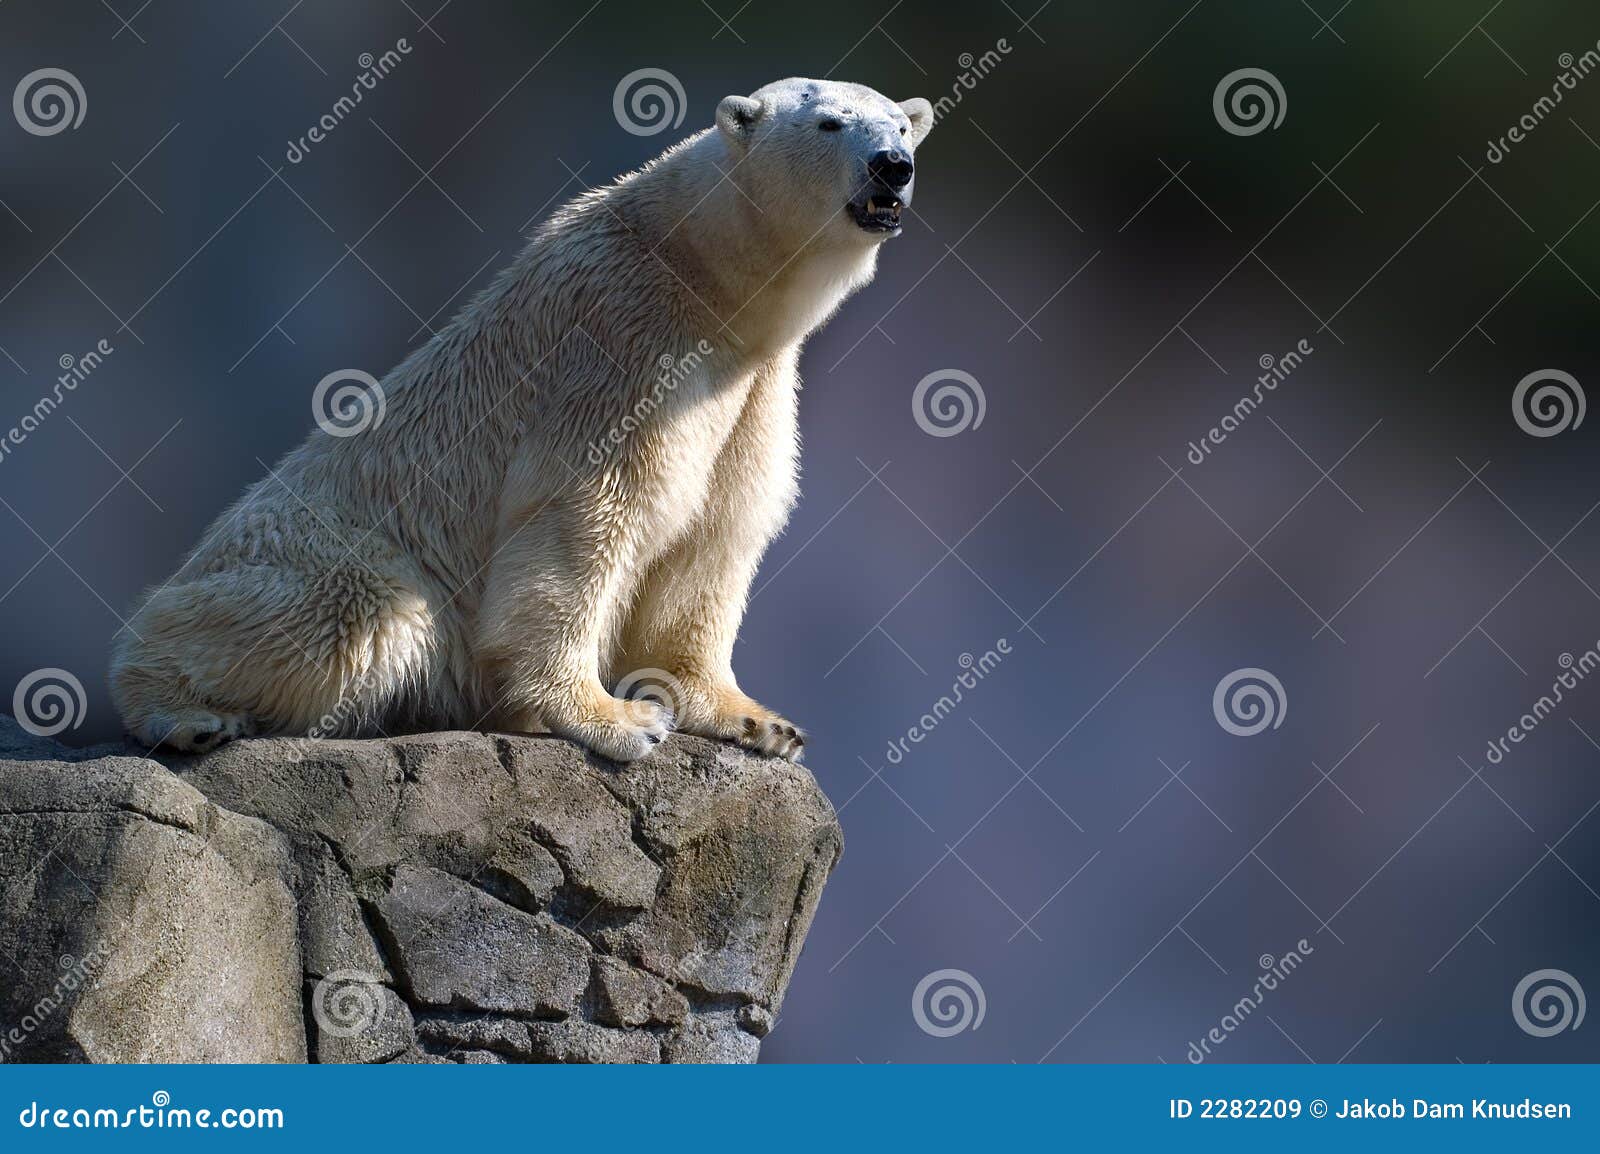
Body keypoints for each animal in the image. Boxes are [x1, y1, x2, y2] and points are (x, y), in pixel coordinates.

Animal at [110, 77, 935, 763]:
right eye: (830, 122)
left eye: (901, 123)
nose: (892, 166)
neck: (694, 272)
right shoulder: (622, 349)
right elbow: (583, 517)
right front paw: (616, 720)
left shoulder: (751, 391)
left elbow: (713, 536)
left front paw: (757, 720)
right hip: (314, 549)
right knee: (355, 612)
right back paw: (184, 712)